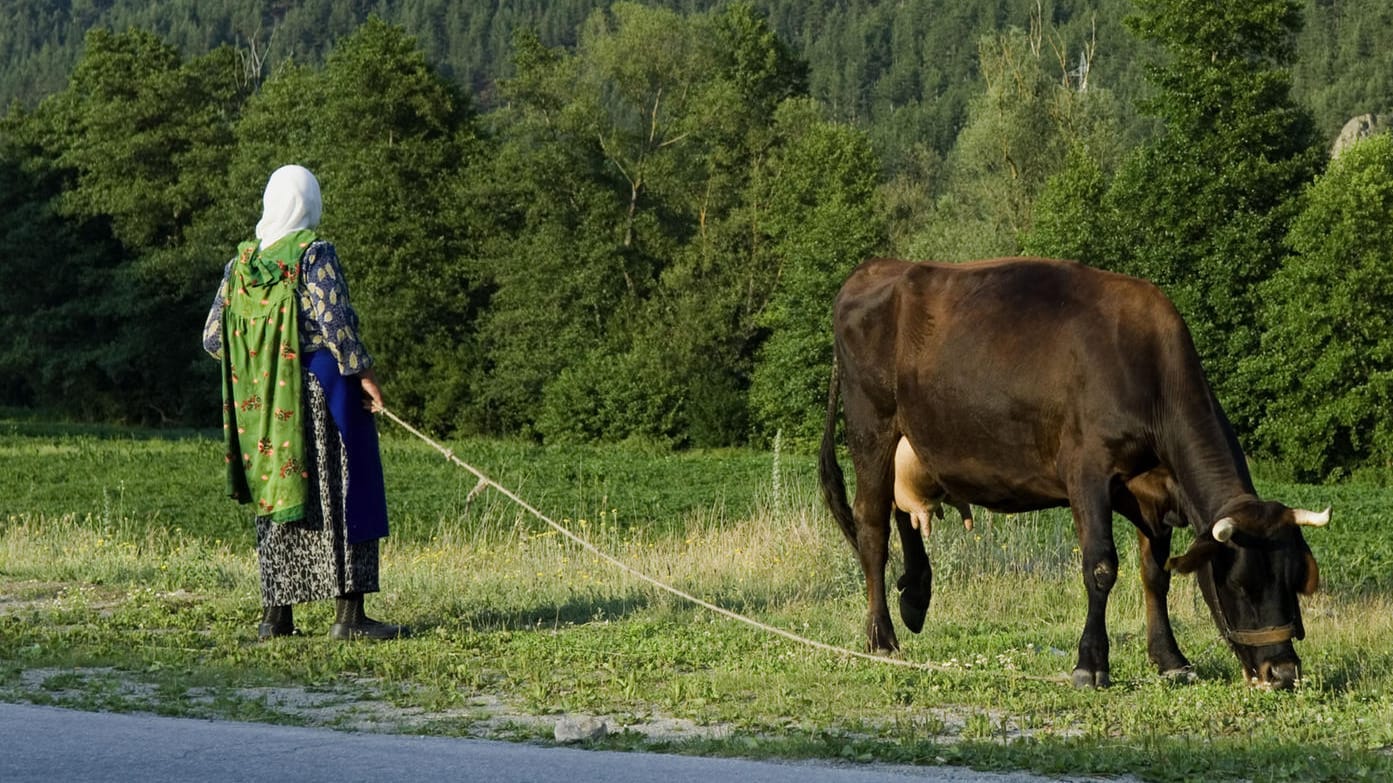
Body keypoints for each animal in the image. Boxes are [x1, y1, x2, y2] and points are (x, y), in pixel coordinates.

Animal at [819, 259, 1331, 685]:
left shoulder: (1156, 491)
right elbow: (1101, 567)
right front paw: (1091, 663)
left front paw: (1171, 660)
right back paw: (882, 637)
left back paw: (915, 596)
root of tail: (874, 267)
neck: (1150, 376)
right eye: (1239, 584)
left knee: (903, 511)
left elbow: (1155, 573)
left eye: (1291, 581)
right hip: (870, 427)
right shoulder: (1087, 472)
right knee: (872, 524)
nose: (1283, 672)